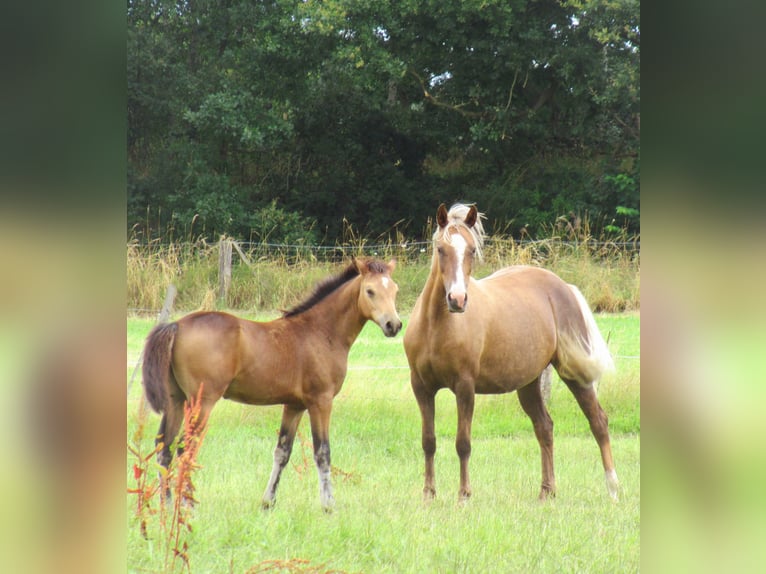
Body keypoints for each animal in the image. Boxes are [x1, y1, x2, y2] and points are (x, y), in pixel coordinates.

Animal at [143, 258, 402, 510]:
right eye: (370, 291)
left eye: (395, 290)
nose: (394, 325)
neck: (320, 332)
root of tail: (176, 326)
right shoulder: (321, 402)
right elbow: (322, 452)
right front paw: (328, 505)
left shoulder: (294, 405)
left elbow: (282, 452)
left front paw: (268, 502)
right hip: (202, 402)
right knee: (185, 447)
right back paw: (187, 505)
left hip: (176, 401)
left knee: (164, 448)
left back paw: (166, 504)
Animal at [404, 206, 620, 504]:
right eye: (440, 249)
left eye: (472, 250)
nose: (457, 299)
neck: (436, 326)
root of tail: (564, 287)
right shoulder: (421, 387)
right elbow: (428, 441)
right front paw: (428, 495)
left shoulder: (465, 386)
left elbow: (463, 443)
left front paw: (464, 496)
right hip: (528, 383)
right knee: (544, 427)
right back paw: (547, 491)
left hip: (573, 373)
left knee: (598, 421)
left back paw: (612, 488)